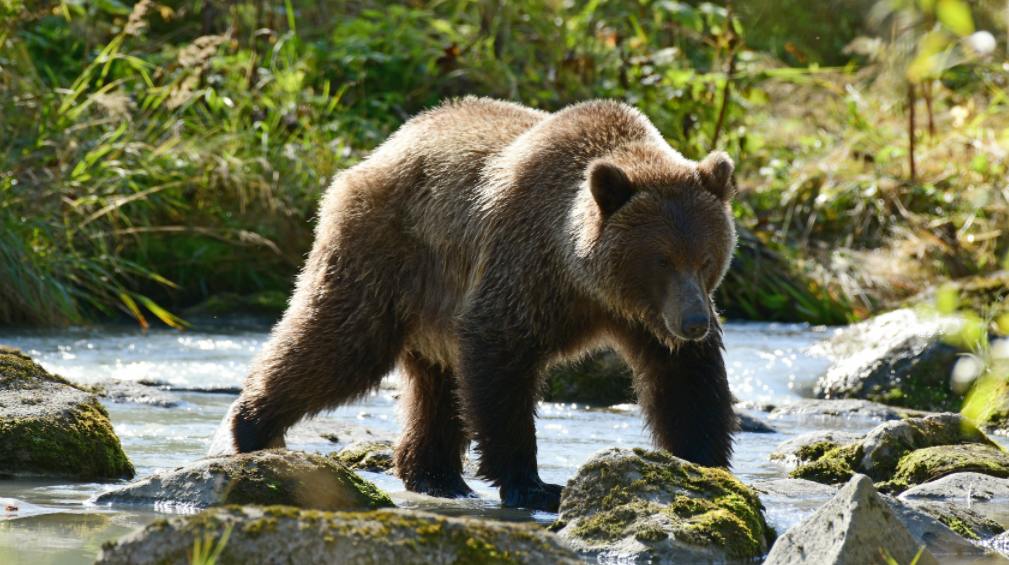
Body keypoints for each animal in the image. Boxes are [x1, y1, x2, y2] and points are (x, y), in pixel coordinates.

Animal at [224, 97, 738, 512]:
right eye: (661, 259)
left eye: (706, 258)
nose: (694, 322)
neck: (585, 279)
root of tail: (381, 151)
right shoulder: (525, 268)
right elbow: (501, 357)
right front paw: (534, 484)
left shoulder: (645, 318)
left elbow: (684, 381)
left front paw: (705, 464)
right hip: (387, 255)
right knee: (339, 342)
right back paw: (252, 427)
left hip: (430, 302)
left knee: (435, 386)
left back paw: (435, 475)